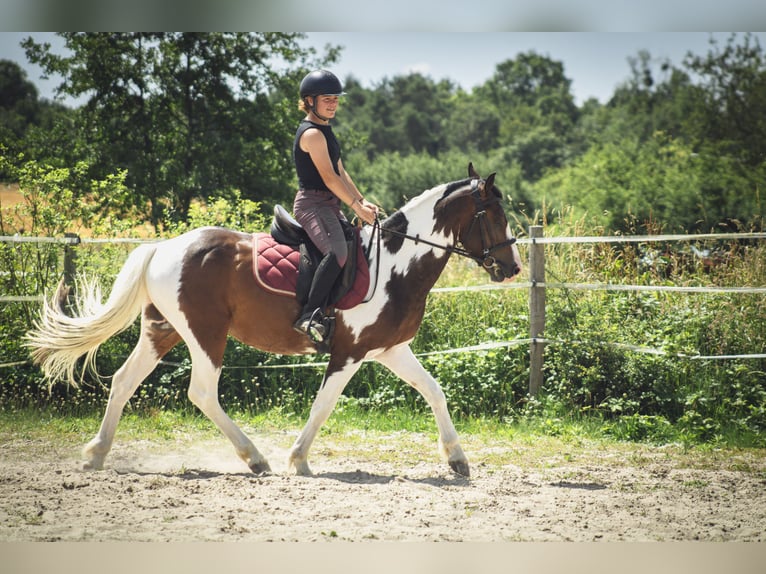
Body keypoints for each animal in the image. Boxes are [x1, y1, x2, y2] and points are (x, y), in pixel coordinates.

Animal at [26, 164, 522, 477]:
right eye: (494, 215)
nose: (513, 267)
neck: (397, 264)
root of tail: (163, 247)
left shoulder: (390, 349)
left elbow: (434, 391)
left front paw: (457, 460)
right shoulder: (349, 353)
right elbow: (323, 406)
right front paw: (298, 460)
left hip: (162, 332)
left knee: (125, 381)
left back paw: (96, 454)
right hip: (206, 334)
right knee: (201, 391)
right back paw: (254, 458)